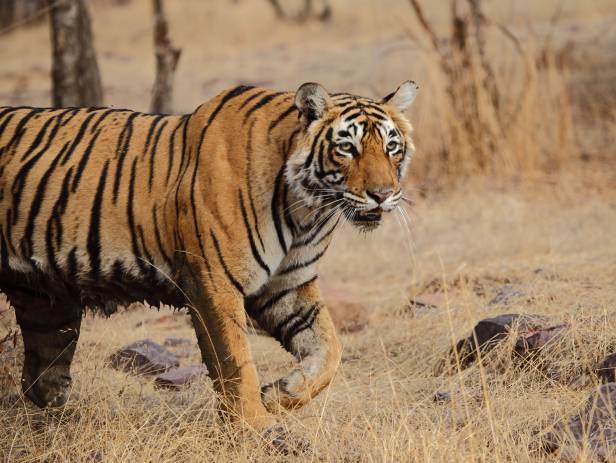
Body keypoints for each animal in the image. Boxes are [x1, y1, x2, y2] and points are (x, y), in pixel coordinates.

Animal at [0, 82, 418, 438]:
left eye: (391, 147)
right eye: (347, 148)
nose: (383, 195)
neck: (306, 210)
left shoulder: (288, 284)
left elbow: (329, 350)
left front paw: (281, 393)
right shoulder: (215, 281)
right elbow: (236, 361)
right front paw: (256, 426)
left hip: (47, 304)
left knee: (41, 378)